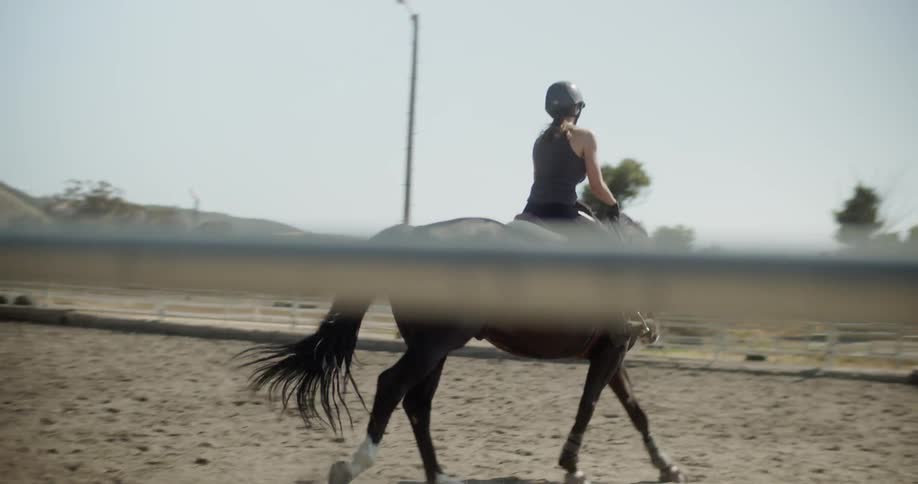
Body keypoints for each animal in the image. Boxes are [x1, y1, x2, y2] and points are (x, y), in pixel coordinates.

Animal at [239, 211, 687, 484]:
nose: (655, 330)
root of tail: (411, 235)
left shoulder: (611, 355)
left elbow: (636, 411)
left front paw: (667, 467)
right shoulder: (611, 353)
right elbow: (590, 406)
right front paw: (572, 467)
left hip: (433, 350)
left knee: (417, 404)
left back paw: (439, 474)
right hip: (433, 347)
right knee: (392, 387)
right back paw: (355, 464)